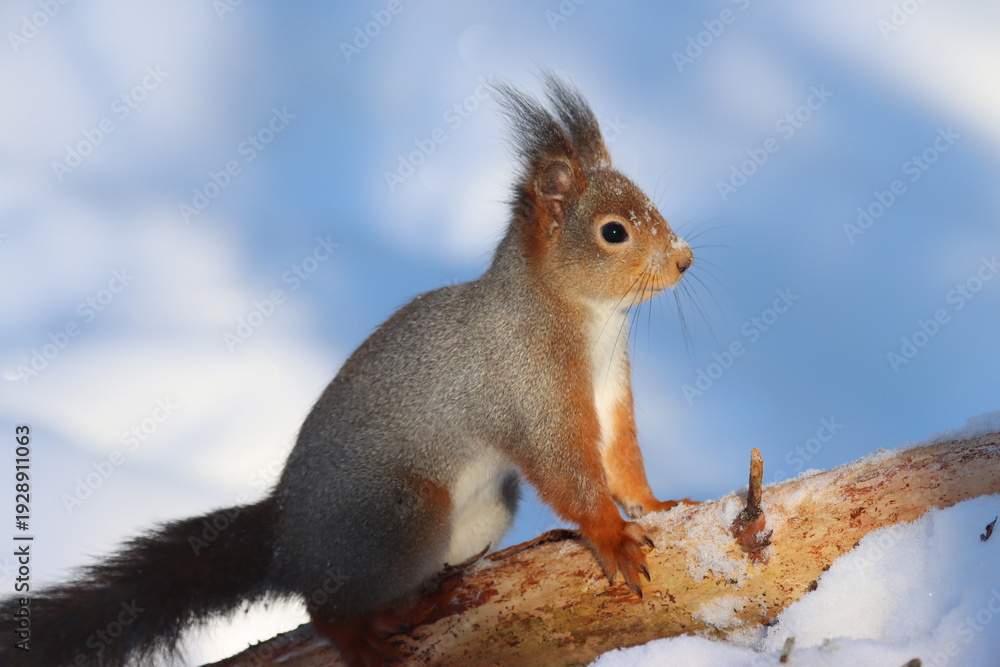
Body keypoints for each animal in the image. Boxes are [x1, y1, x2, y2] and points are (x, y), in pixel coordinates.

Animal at [1, 73, 695, 666]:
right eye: (613, 232)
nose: (684, 259)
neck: (591, 322)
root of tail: (285, 534)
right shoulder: (528, 388)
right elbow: (568, 471)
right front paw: (611, 536)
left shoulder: (610, 393)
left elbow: (621, 460)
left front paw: (659, 504)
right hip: (402, 515)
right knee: (323, 606)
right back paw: (364, 633)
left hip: (483, 512)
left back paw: (428, 597)